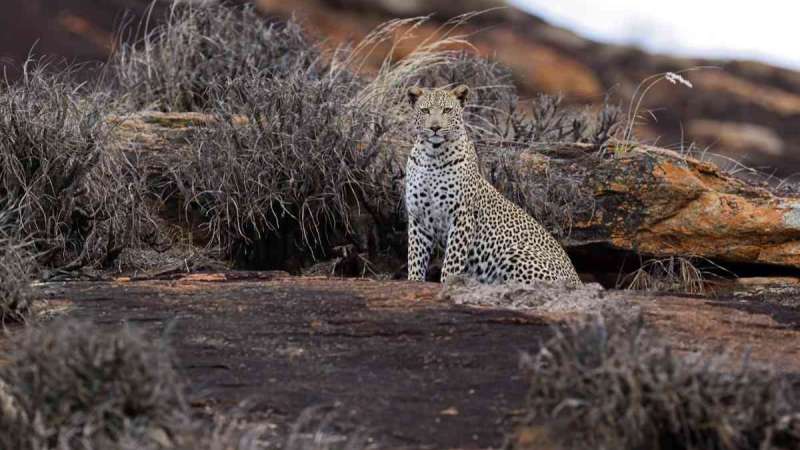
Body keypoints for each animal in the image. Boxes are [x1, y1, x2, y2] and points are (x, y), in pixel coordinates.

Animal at [404, 84, 581, 285]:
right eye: (425, 110)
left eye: (447, 110)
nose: (435, 127)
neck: (431, 157)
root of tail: (578, 280)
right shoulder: (418, 218)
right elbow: (415, 258)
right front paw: (414, 281)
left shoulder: (461, 218)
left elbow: (451, 264)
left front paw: (448, 284)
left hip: (513, 252)